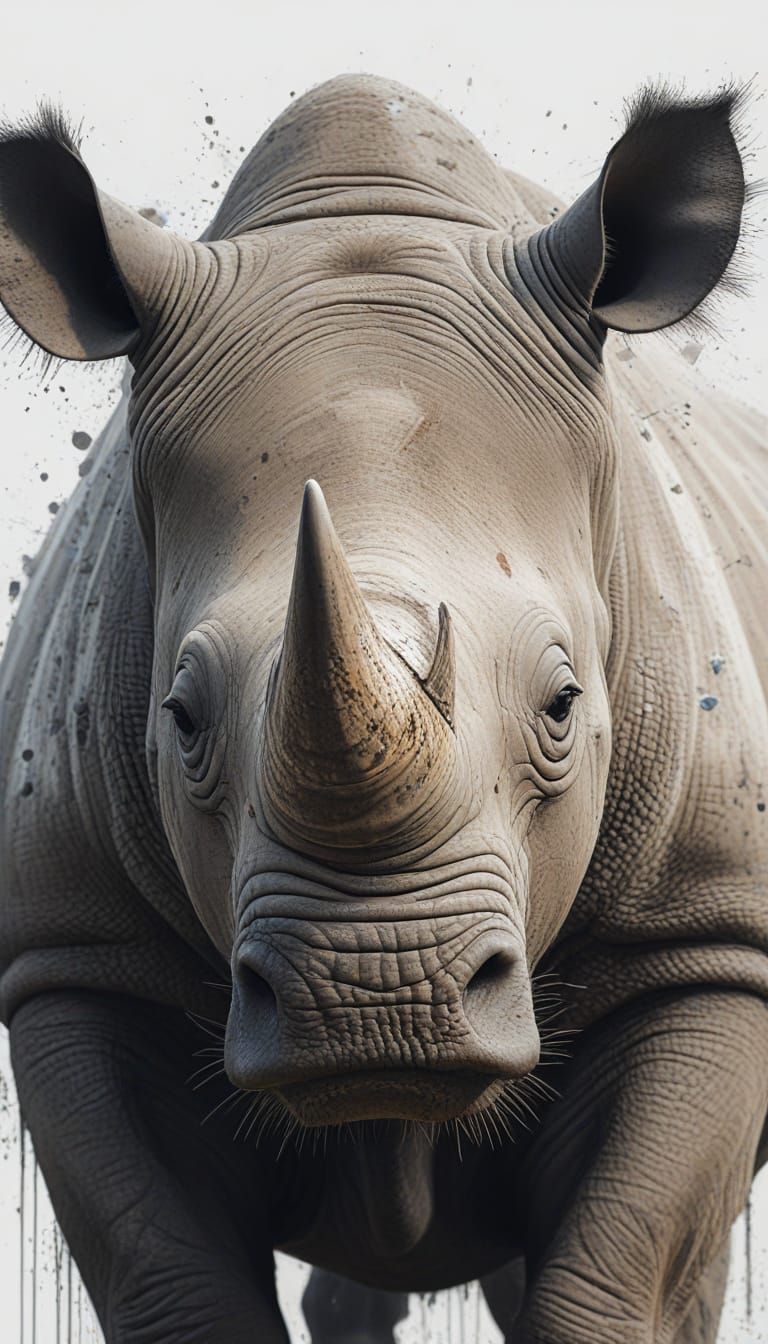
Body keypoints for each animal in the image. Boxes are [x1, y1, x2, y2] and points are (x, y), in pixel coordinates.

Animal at [1, 73, 766, 1344]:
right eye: (181, 719)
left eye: (566, 703)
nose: (376, 996)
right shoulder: (77, 953)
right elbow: (176, 1282)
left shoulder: (704, 933)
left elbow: (617, 1280)